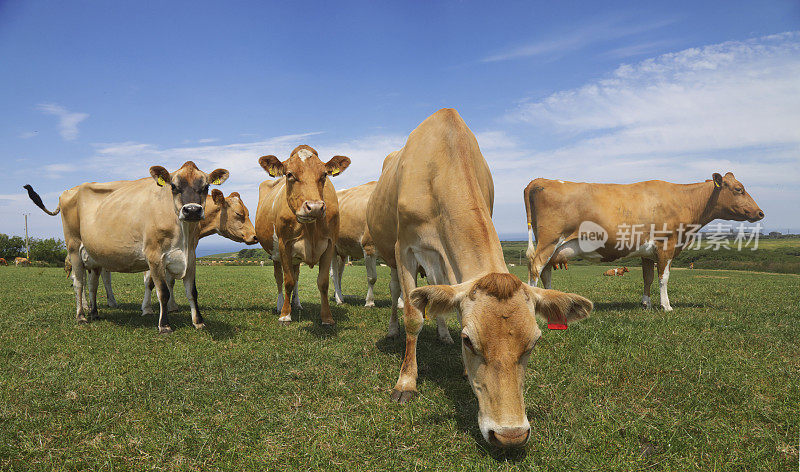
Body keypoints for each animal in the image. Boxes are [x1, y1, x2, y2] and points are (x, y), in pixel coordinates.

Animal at [252, 146, 348, 326]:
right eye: (289, 174)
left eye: (324, 175)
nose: (315, 207)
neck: (310, 230)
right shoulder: (284, 245)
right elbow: (287, 281)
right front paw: (285, 315)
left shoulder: (329, 245)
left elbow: (322, 282)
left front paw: (327, 317)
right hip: (275, 254)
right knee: (279, 278)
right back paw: (280, 305)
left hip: (296, 258)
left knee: (296, 276)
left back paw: (296, 303)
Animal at [366, 109, 592, 448]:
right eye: (469, 341)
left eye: (534, 343)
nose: (510, 434)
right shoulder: (403, 248)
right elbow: (414, 317)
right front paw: (406, 383)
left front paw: (457, 359)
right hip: (390, 256)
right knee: (397, 294)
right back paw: (394, 329)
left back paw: (441, 333)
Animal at [524, 172, 764, 310]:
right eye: (739, 189)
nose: (760, 213)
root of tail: (539, 181)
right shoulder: (666, 245)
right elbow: (663, 277)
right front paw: (666, 306)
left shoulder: (648, 252)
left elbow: (647, 278)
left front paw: (646, 304)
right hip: (549, 240)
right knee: (536, 268)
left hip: (552, 246)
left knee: (546, 271)